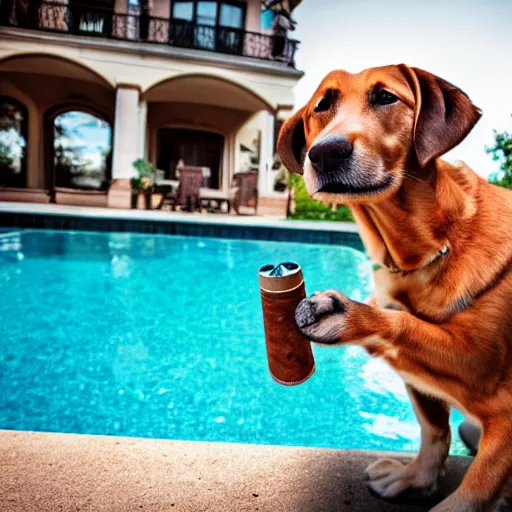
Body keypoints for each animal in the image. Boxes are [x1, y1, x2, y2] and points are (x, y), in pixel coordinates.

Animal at [278, 65, 512, 512]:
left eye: (386, 97)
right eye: (323, 104)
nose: (325, 152)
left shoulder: (496, 398)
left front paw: (345, 312)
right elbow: (435, 431)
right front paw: (416, 478)